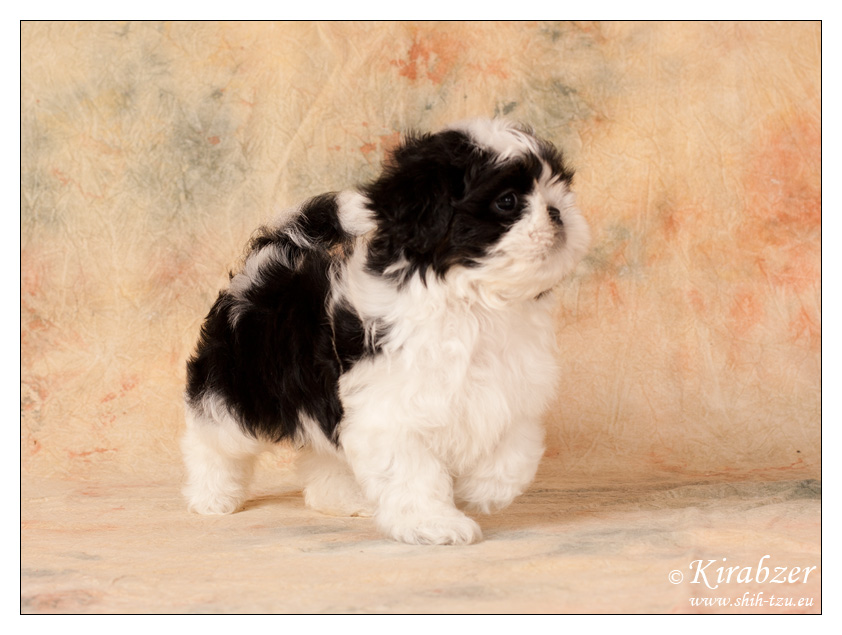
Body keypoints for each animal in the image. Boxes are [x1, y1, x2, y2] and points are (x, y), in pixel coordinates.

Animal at [182, 119, 590, 545]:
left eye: (559, 185)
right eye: (507, 201)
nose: (558, 211)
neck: (474, 302)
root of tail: (267, 260)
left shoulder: (513, 390)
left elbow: (515, 453)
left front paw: (481, 491)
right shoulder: (390, 408)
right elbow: (412, 471)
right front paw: (434, 523)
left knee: (324, 450)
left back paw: (342, 498)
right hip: (236, 387)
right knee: (212, 438)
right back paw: (212, 496)